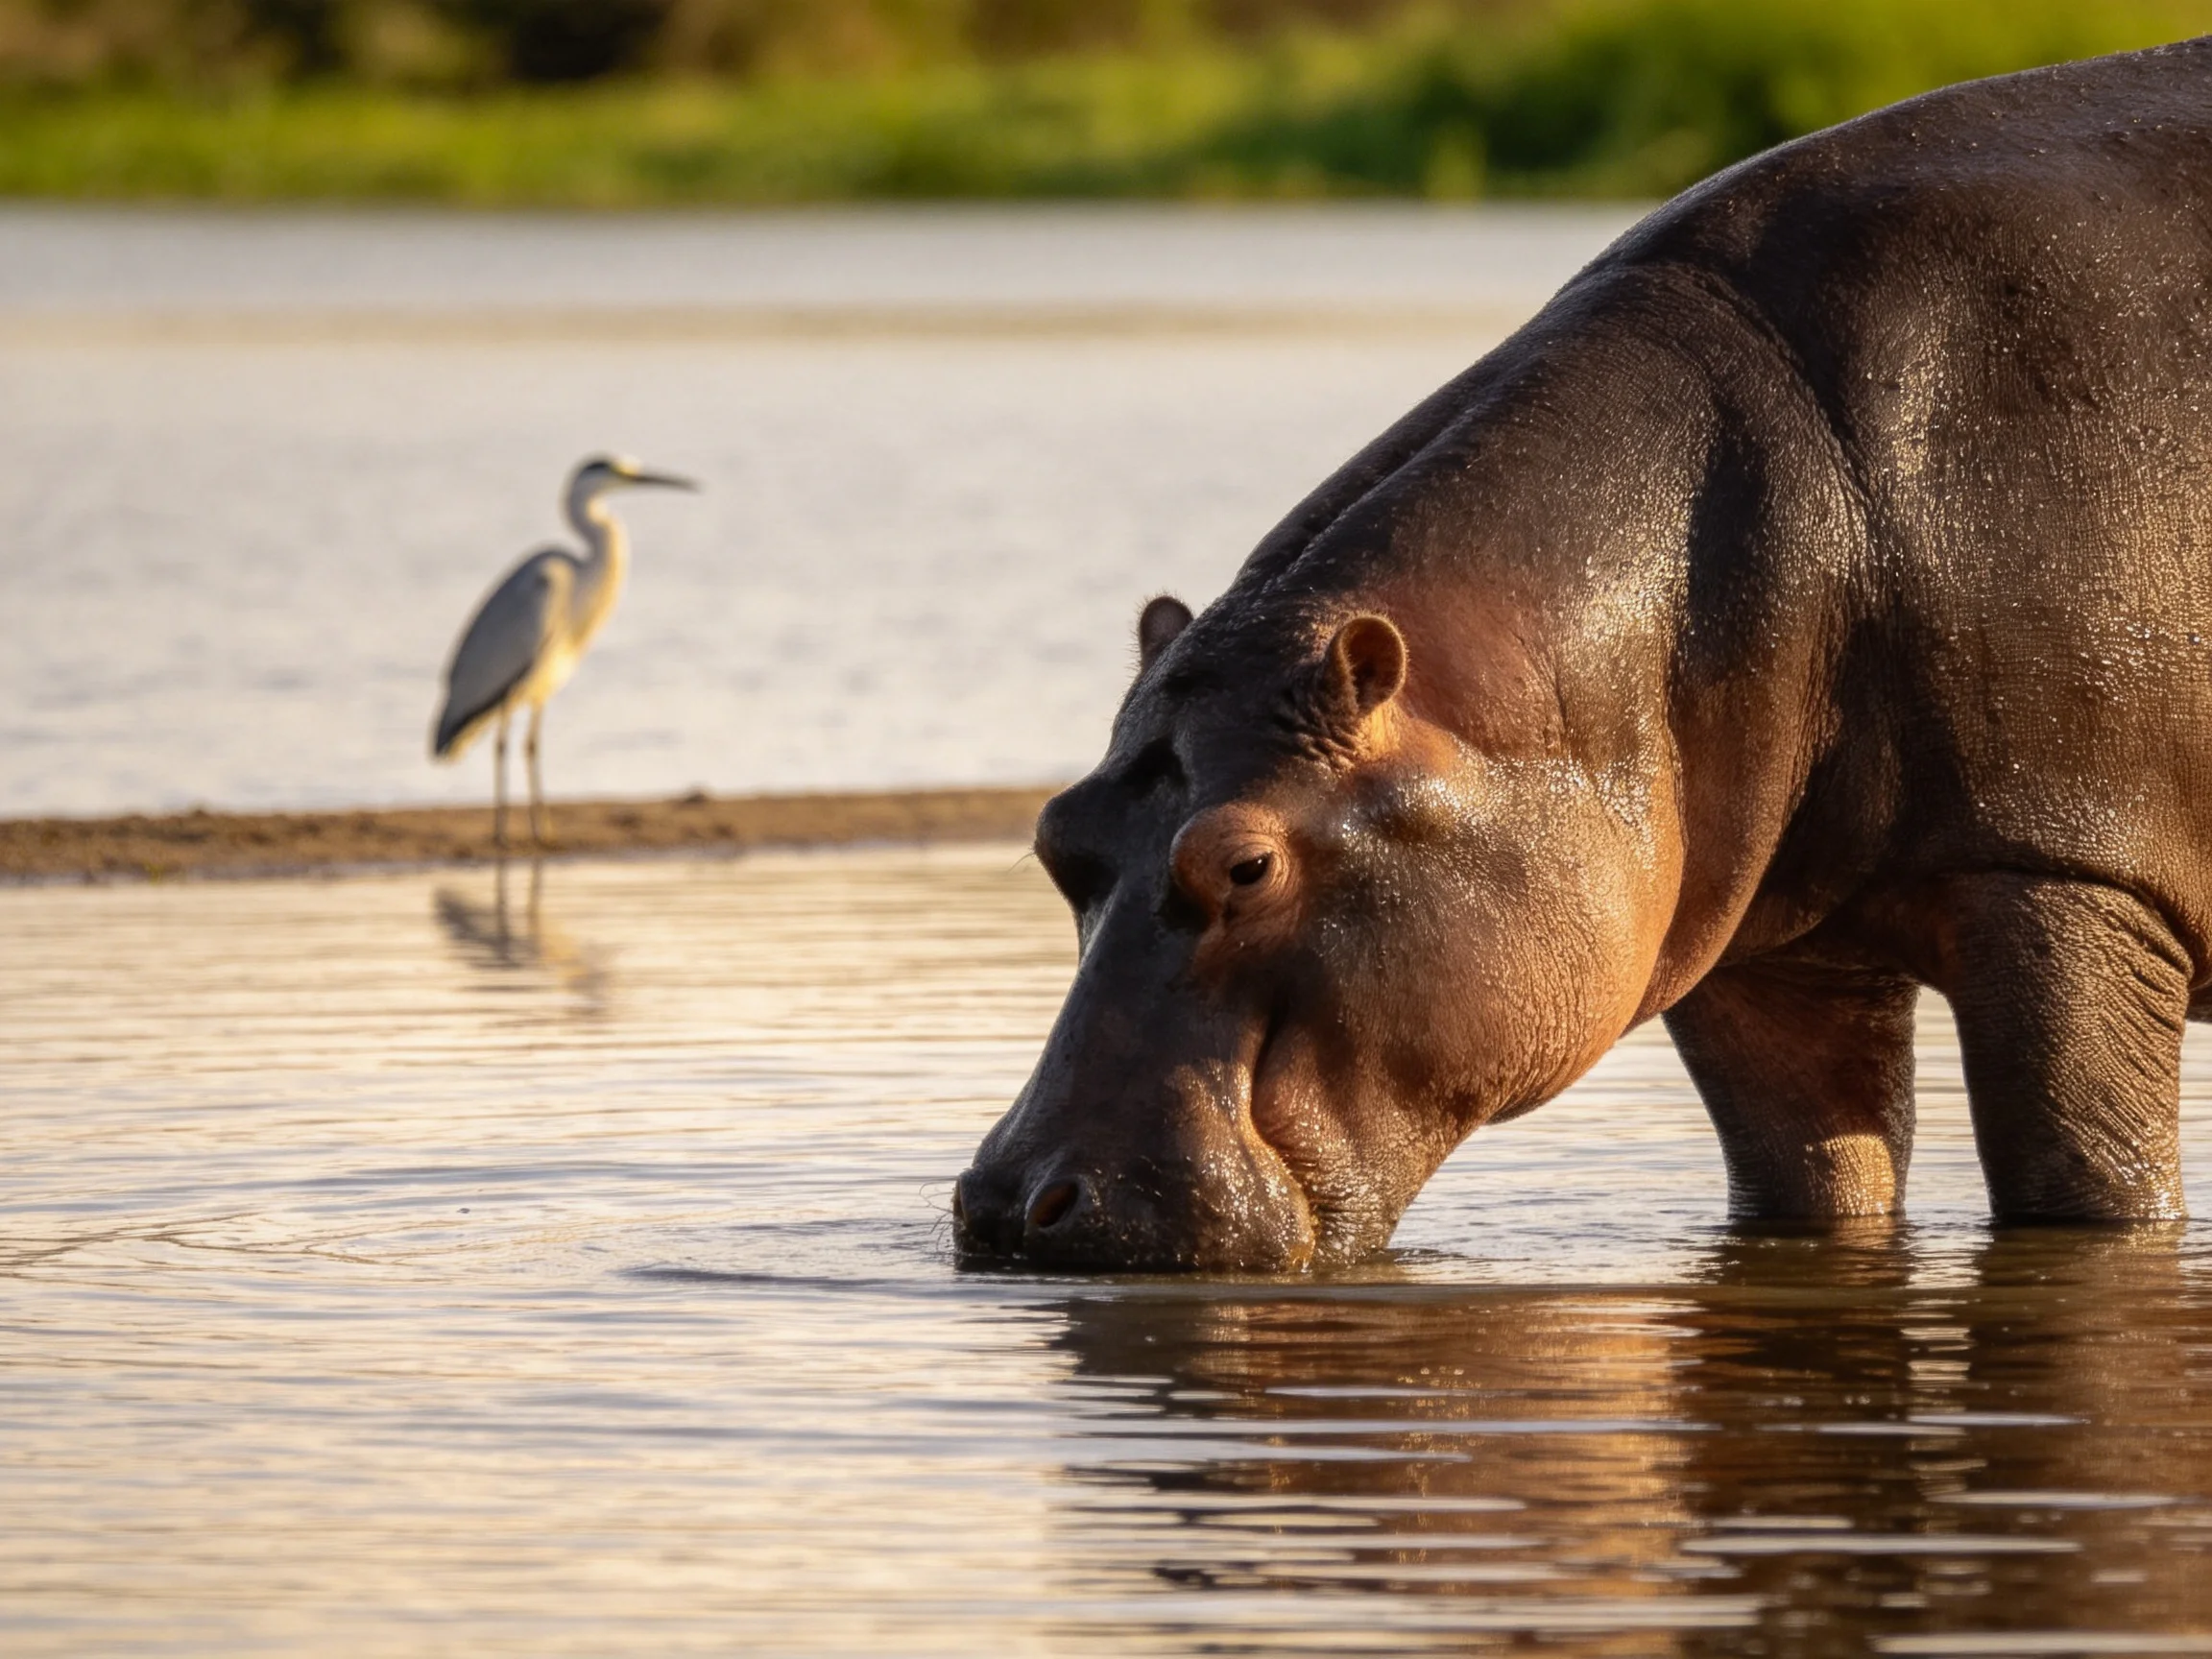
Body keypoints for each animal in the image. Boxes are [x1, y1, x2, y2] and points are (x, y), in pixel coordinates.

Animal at [955, 40, 2212, 1271]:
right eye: (1056, 835)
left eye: (1245, 864)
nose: (1017, 1206)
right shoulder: (1761, 954)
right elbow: (1809, 1179)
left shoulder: (2066, 870)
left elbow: (2083, 1177)